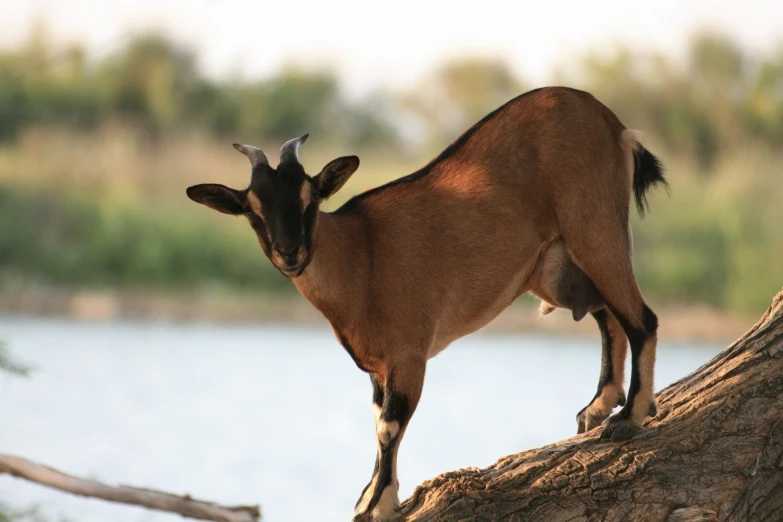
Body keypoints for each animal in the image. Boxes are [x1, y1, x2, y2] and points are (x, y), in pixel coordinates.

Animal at [185, 86, 668, 520]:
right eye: (252, 209)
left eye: (310, 198)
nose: (291, 253)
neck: (361, 256)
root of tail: (613, 124)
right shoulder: (379, 367)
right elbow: (378, 422)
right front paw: (372, 496)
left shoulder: (409, 354)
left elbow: (389, 427)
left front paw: (377, 506)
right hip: (562, 266)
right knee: (609, 317)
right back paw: (598, 408)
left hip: (596, 230)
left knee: (641, 318)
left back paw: (629, 418)